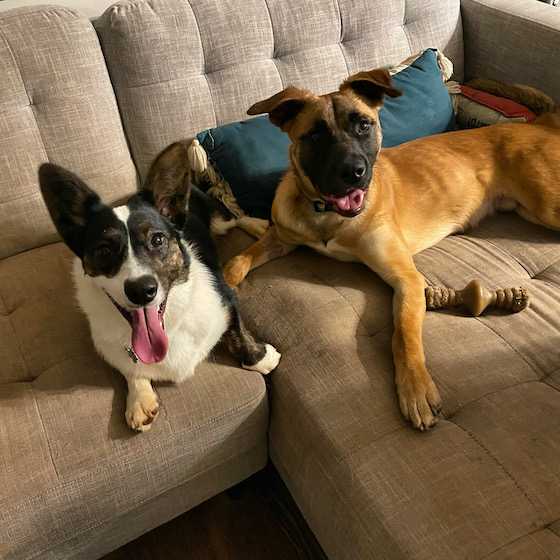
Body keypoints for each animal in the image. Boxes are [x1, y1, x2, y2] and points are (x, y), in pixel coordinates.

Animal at [223, 69, 560, 428]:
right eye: (314, 135)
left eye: (364, 125)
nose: (353, 172)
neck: (326, 214)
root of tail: (542, 125)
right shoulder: (282, 239)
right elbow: (237, 260)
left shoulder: (407, 280)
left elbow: (404, 335)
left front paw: (416, 388)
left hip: (547, 206)